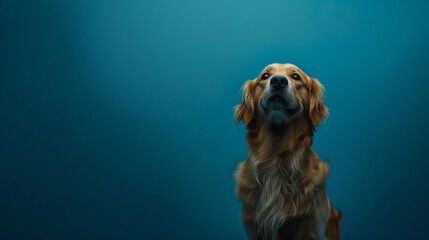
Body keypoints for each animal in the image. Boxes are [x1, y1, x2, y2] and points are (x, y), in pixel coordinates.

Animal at [232, 62, 340, 239]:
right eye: (265, 76)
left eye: (296, 76)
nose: (278, 81)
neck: (277, 156)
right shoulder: (253, 225)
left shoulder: (310, 225)